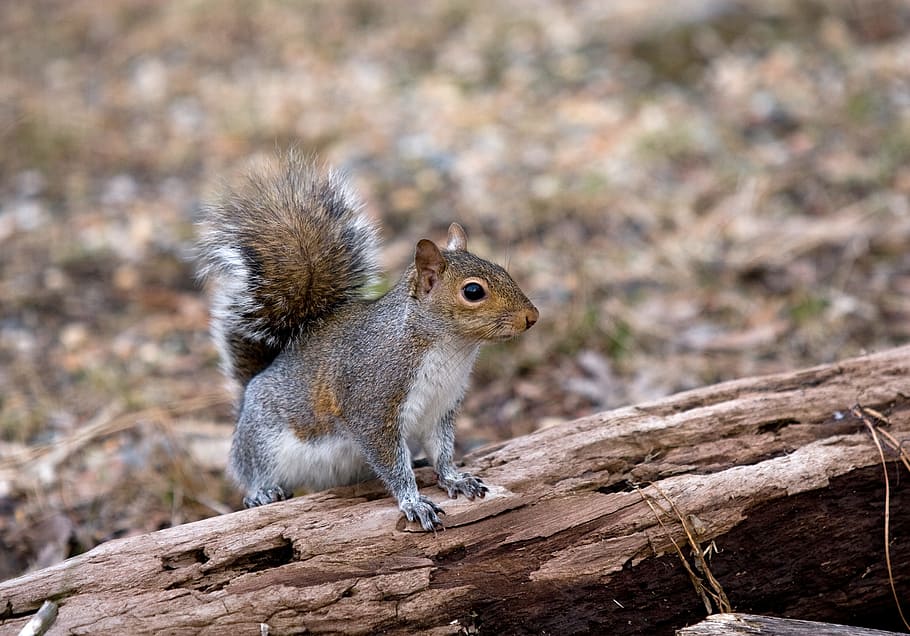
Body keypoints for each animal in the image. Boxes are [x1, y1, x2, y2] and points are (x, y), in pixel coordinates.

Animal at [197, 152, 538, 530]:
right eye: (473, 291)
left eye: (503, 271)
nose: (532, 316)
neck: (449, 349)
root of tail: (250, 389)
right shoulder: (372, 405)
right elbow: (391, 462)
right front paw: (413, 501)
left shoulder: (439, 408)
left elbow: (442, 450)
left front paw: (453, 478)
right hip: (263, 438)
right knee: (250, 468)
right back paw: (262, 492)